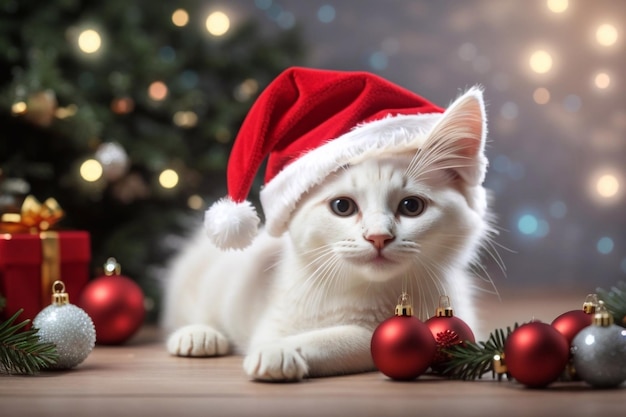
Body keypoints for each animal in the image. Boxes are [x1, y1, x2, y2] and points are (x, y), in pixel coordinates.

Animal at [160, 88, 492, 380]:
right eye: (342, 206)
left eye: (412, 206)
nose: (378, 237)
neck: (373, 293)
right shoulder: (276, 317)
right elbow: (337, 336)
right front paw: (278, 350)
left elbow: (355, 338)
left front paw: (284, 350)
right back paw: (197, 335)